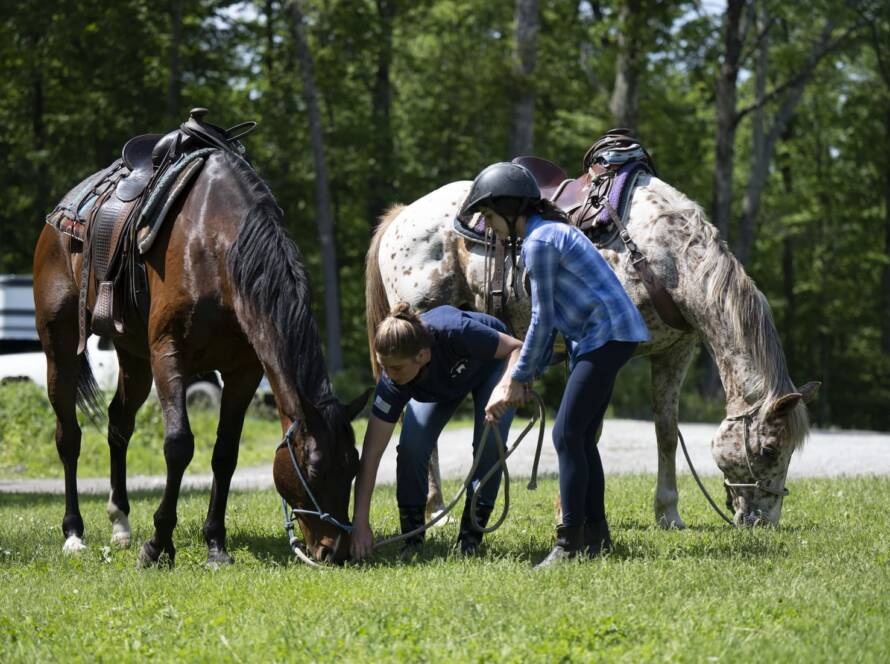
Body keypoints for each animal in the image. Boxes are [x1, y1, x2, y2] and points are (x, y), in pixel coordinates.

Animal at [34, 149, 366, 564]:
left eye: (354, 467)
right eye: (316, 471)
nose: (335, 551)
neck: (216, 247)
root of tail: (58, 218)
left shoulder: (244, 370)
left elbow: (225, 454)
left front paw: (216, 544)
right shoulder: (169, 354)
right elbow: (178, 445)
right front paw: (158, 545)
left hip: (134, 359)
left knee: (119, 424)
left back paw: (120, 523)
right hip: (60, 350)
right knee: (69, 437)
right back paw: (74, 533)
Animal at [366, 176, 820, 528]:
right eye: (769, 449)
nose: (763, 521)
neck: (663, 254)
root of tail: (401, 216)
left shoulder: (673, 353)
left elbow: (666, 432)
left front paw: (668, 513)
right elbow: (591, 429)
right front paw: (568, 510)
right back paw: (436, 508)